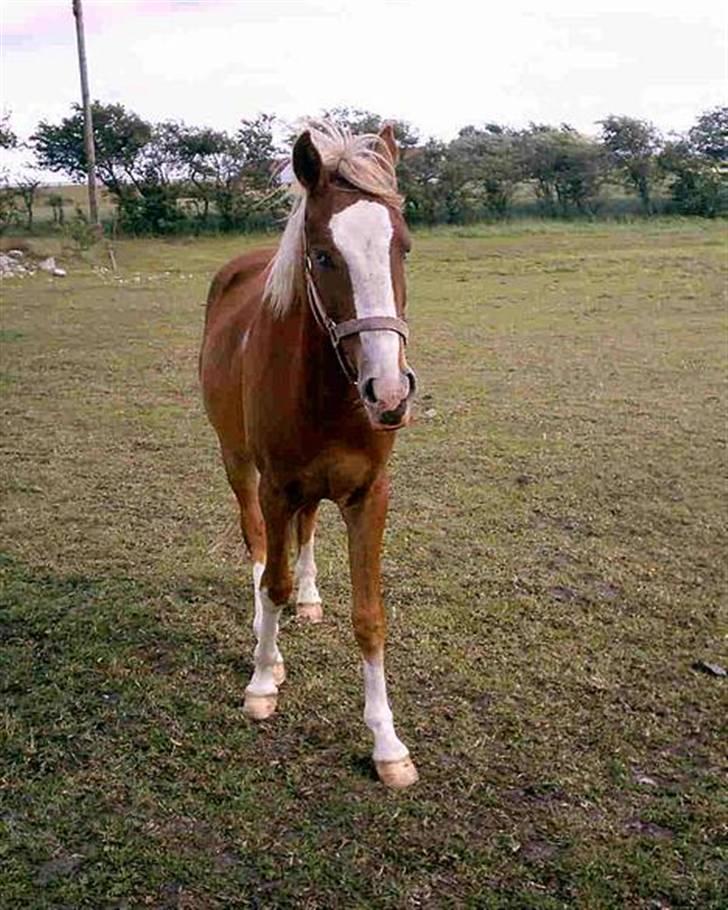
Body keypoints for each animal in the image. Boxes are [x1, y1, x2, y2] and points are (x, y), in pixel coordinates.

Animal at [199, 121, 418, 792]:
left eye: (403, 248)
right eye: (323, 255)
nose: (389, 393)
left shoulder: (369, 494)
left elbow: (370, 615)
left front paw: (387, 745)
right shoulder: (275, 486)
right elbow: (271, 582)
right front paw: (262, 682)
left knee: (308, 531)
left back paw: (312, 596)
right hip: (238, 463)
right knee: (258, 545)